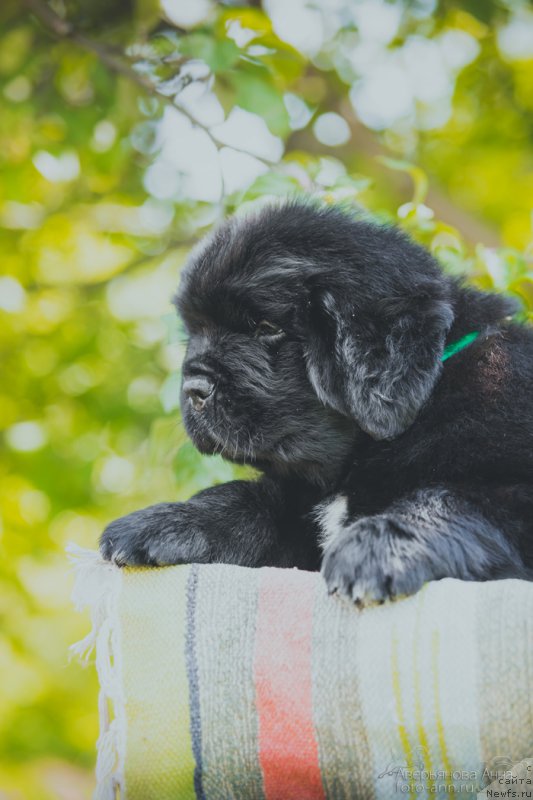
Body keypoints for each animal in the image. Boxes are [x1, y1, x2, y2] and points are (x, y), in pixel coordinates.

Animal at [101, 200, 532, 600]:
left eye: (267, 328)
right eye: (194, 332)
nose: (193, 388)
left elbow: (449, 499)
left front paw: (373, 548)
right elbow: (247, 498)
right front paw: (165, 520)